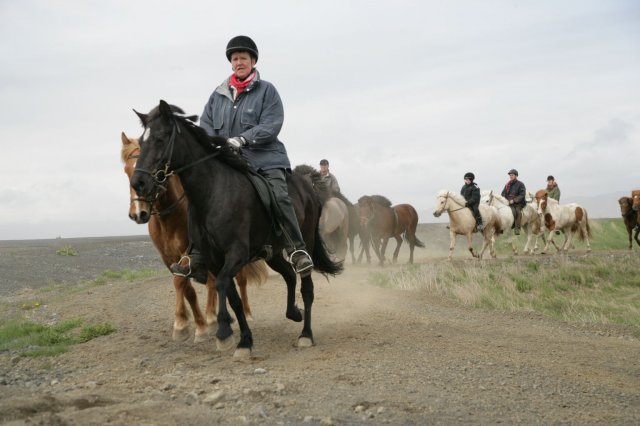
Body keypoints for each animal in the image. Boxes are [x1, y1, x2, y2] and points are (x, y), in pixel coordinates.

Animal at [120, 133, 268, 342]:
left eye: (157, 170)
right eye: (126, 171)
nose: (138, 213)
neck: (169, 217)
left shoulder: (190, 253)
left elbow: (181, 282)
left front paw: (192, 324)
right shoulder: (168, 258)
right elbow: (186, 288)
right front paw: (191, 322)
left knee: (239, 280)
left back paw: (240, 314)